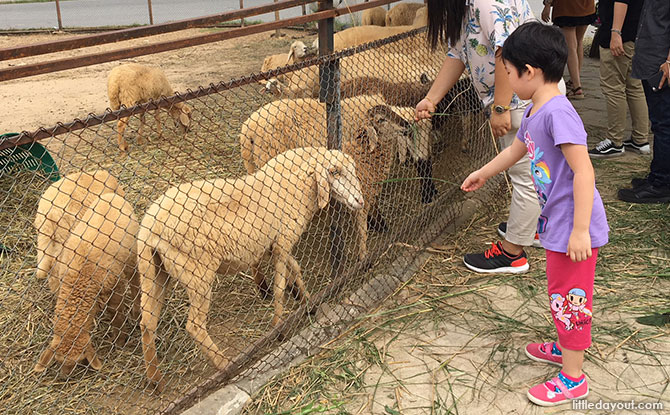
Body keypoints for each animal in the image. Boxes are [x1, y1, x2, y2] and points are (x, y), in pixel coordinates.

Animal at [34, 193, 140, 378]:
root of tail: (113, 196)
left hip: (131, 256)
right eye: (58, 360)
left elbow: (116, 314)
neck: (79, 280)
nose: (65, 376)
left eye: (79, 361)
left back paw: (136, 312)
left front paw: (119, 340)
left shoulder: (115, 286)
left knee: (135, 283)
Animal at [138, 148, 368, 392]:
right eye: (334, 172)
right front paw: (278, 327)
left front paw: (307, 301)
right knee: (194, 326)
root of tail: (150, 229)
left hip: (155, 272)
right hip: (197, 273)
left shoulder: (274, 246)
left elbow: (295, 268)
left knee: (147, 323)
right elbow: (279, 288)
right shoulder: (282, 242)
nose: (360, 201)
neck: (296, 187)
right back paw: (223, 364)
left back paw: (156, 379)